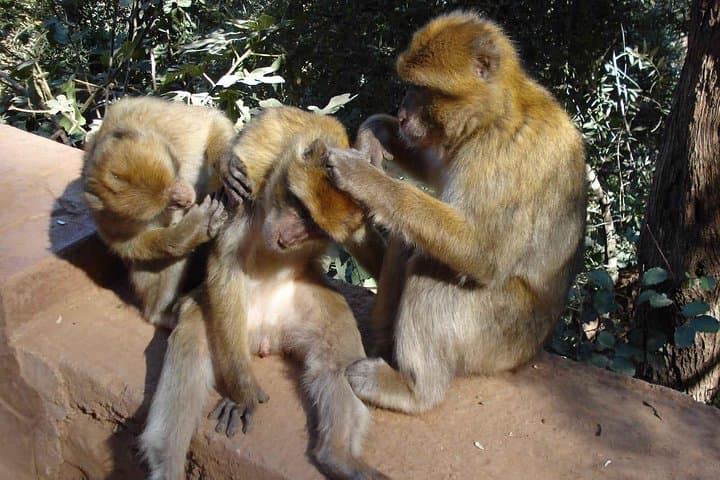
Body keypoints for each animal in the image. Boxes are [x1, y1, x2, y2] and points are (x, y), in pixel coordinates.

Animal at [82, 96, 238, 328]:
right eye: (168, 203)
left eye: (176, 175)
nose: (187, 199)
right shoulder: (105, 215)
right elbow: (129, 245)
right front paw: (192, 229)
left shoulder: (165, 122)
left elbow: (210, 122)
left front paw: (226, 162)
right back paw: (160, 315)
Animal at [140, 107, 389, 480]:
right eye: (299, 207)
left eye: (314, 227)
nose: (287, 238)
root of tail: (266, 334)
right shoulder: (250, 175)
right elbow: (226, 262)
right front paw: (243, 393)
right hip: (229, 325)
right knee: (192, 342)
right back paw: (166, 461)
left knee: (338, 363)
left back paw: (338, 455)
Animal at [322, 11, 588, 414]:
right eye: (408, 85)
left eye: (422, 88)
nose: (402, 113)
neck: (494, 112)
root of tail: (531, 351)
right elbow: (436, 169)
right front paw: (375, 133)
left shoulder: (499, 156)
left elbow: (486, 253)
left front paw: (364, 179)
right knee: (411, 243)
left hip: (497, 339)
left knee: (428, 270)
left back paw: (413, 389)